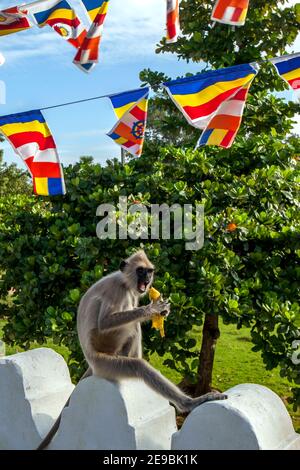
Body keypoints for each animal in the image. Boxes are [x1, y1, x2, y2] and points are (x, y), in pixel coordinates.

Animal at [38, 250, 227, 448]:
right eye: (141, 270)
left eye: (149, 271)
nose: (148, 278)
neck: (124, 282)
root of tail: (92, 360)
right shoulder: (117, 291)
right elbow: (105, 322)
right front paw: (151, 310)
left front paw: (162, 312)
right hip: (105, 359)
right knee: (134, 351)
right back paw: (188, 403)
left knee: (134, 328)